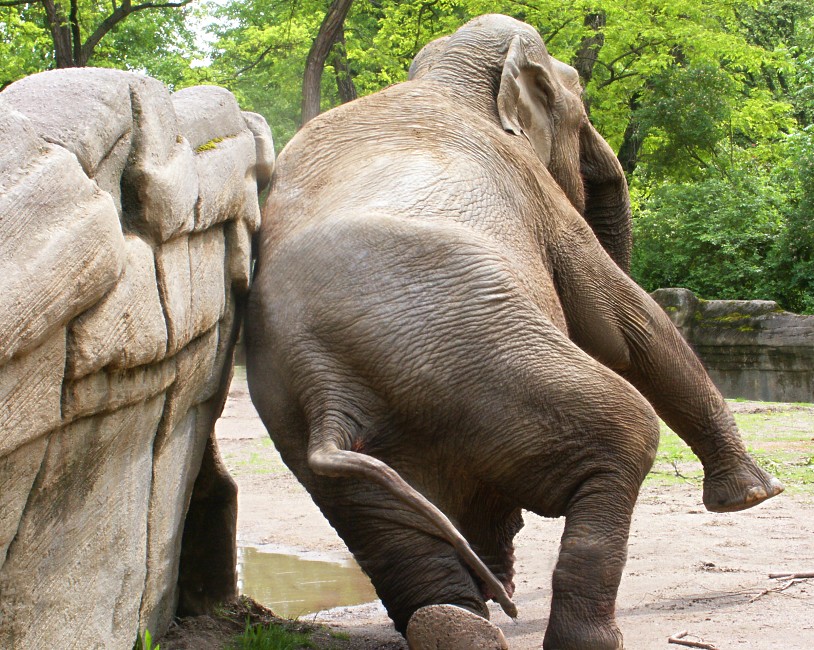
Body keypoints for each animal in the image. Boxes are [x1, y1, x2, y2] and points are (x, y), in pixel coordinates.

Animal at [247, 15, 784, 648]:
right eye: (580, 99)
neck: (449, 71)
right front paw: (757, 495)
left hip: (325, 430)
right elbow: (626, 325)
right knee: (624, 432)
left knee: (395, 539)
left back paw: (459, 620)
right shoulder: (539, 195)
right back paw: (574, 636)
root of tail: (328, 394)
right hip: (482, 356)